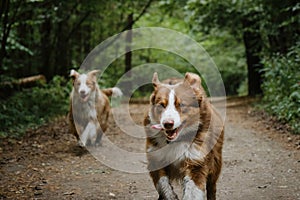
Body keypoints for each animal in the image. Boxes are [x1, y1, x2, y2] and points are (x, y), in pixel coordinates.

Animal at [144, 71, 224, 199]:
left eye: (181, 104)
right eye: (161, 105)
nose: (167, 124)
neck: (174, 142)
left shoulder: (196, 161)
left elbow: (192, 191)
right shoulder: (156, 158)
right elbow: (163, 184)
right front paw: (171, 196)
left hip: (215, 162)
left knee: (212, 186)